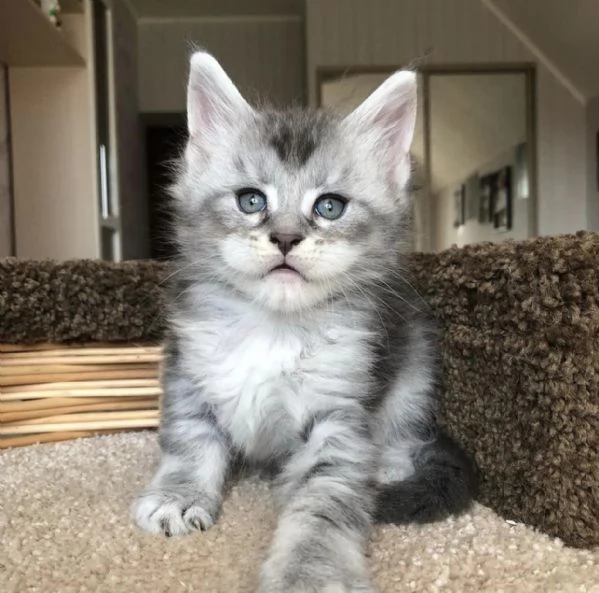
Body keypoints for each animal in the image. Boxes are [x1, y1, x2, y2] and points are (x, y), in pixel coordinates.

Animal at [132, 52, 478, 592]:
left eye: (330, 206)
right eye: (251, 201)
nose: (286, 238)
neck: (272, 326)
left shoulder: (339, 414)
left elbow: (324, 505)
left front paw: (311, 573)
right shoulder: (187, 370)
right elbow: (189, 441)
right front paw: (178, 495)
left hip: (415, 359)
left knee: (407, 431)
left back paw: (389, 464)